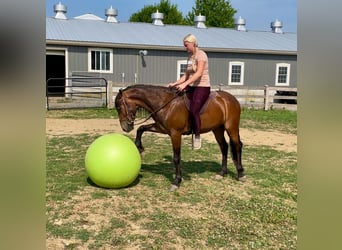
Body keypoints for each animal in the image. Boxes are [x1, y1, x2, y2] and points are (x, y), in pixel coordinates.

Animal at [115, 84, 243, 191]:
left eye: (119, 107)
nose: (125, 127)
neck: (166, 104)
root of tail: (231, 99)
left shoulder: (175, 133)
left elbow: (176, 157)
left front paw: (176, 181)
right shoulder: (161, 128)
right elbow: (141, 128)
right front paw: (140, 148)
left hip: (231, 127)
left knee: (237, 146)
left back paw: (240, 173)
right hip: (217, 129)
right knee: (224, 147)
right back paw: (222, 173)